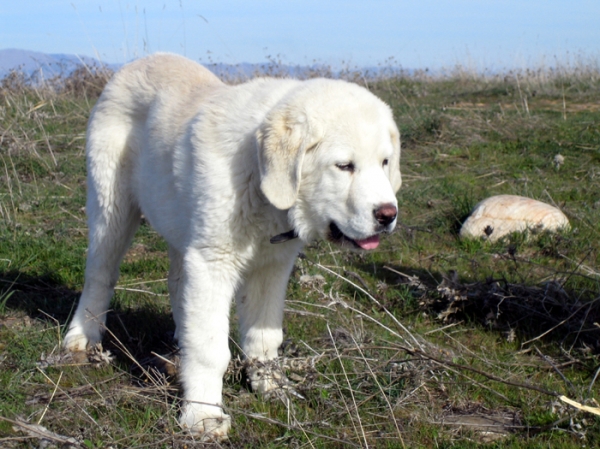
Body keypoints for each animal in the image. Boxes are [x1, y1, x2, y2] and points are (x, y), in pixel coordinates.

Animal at [63, 52, 400, 438]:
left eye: (385, 162)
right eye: (344, 166)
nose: (388, 215)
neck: (258, 175)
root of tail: (141, 61)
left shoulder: (271, 267)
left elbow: (264, 336)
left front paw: (271, 386)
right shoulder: (213, 262)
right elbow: (210, 349)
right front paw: (202, 415)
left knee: (177, 282)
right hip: (111, 208)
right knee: (100, 274)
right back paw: (82, 336)